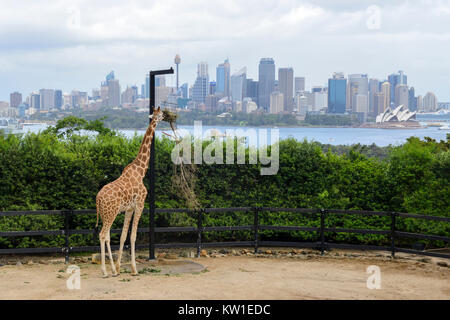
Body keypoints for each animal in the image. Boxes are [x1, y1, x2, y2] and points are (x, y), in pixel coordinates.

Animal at [96, 106, 164, 276]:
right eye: (160, 114)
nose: (166, 116)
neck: (141, 171)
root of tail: (97, 198)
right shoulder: (140, 204)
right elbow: (133, 236)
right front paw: (134, 269)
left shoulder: (129, 209)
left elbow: (122, 236)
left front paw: (119, 266)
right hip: (111, 213)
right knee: (102, 235)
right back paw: (105, 271)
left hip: (106, 214)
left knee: (107, 235)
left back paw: (113, 270)